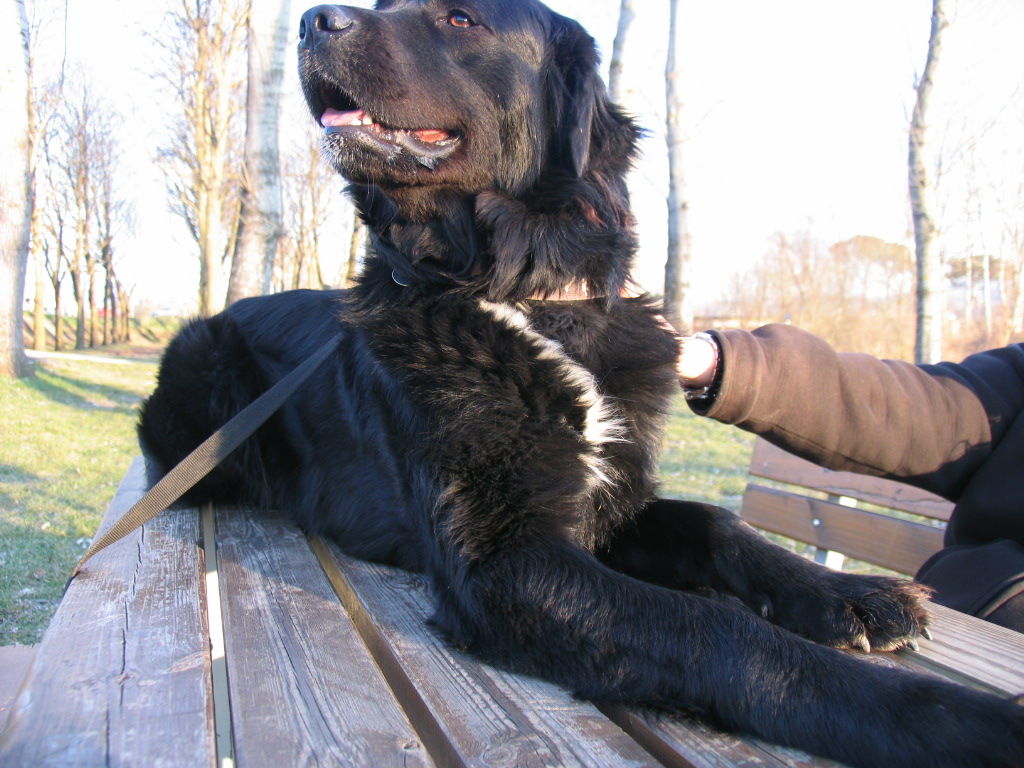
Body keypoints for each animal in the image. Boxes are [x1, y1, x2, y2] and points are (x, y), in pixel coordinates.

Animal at [136, 3, 1024, 765]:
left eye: (459, 17)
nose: (314, 21)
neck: (522, 292)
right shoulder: (506, 556)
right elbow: (716, 626)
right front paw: (952, 719)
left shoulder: (609, 500)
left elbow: (720, 528)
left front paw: (852, 596)